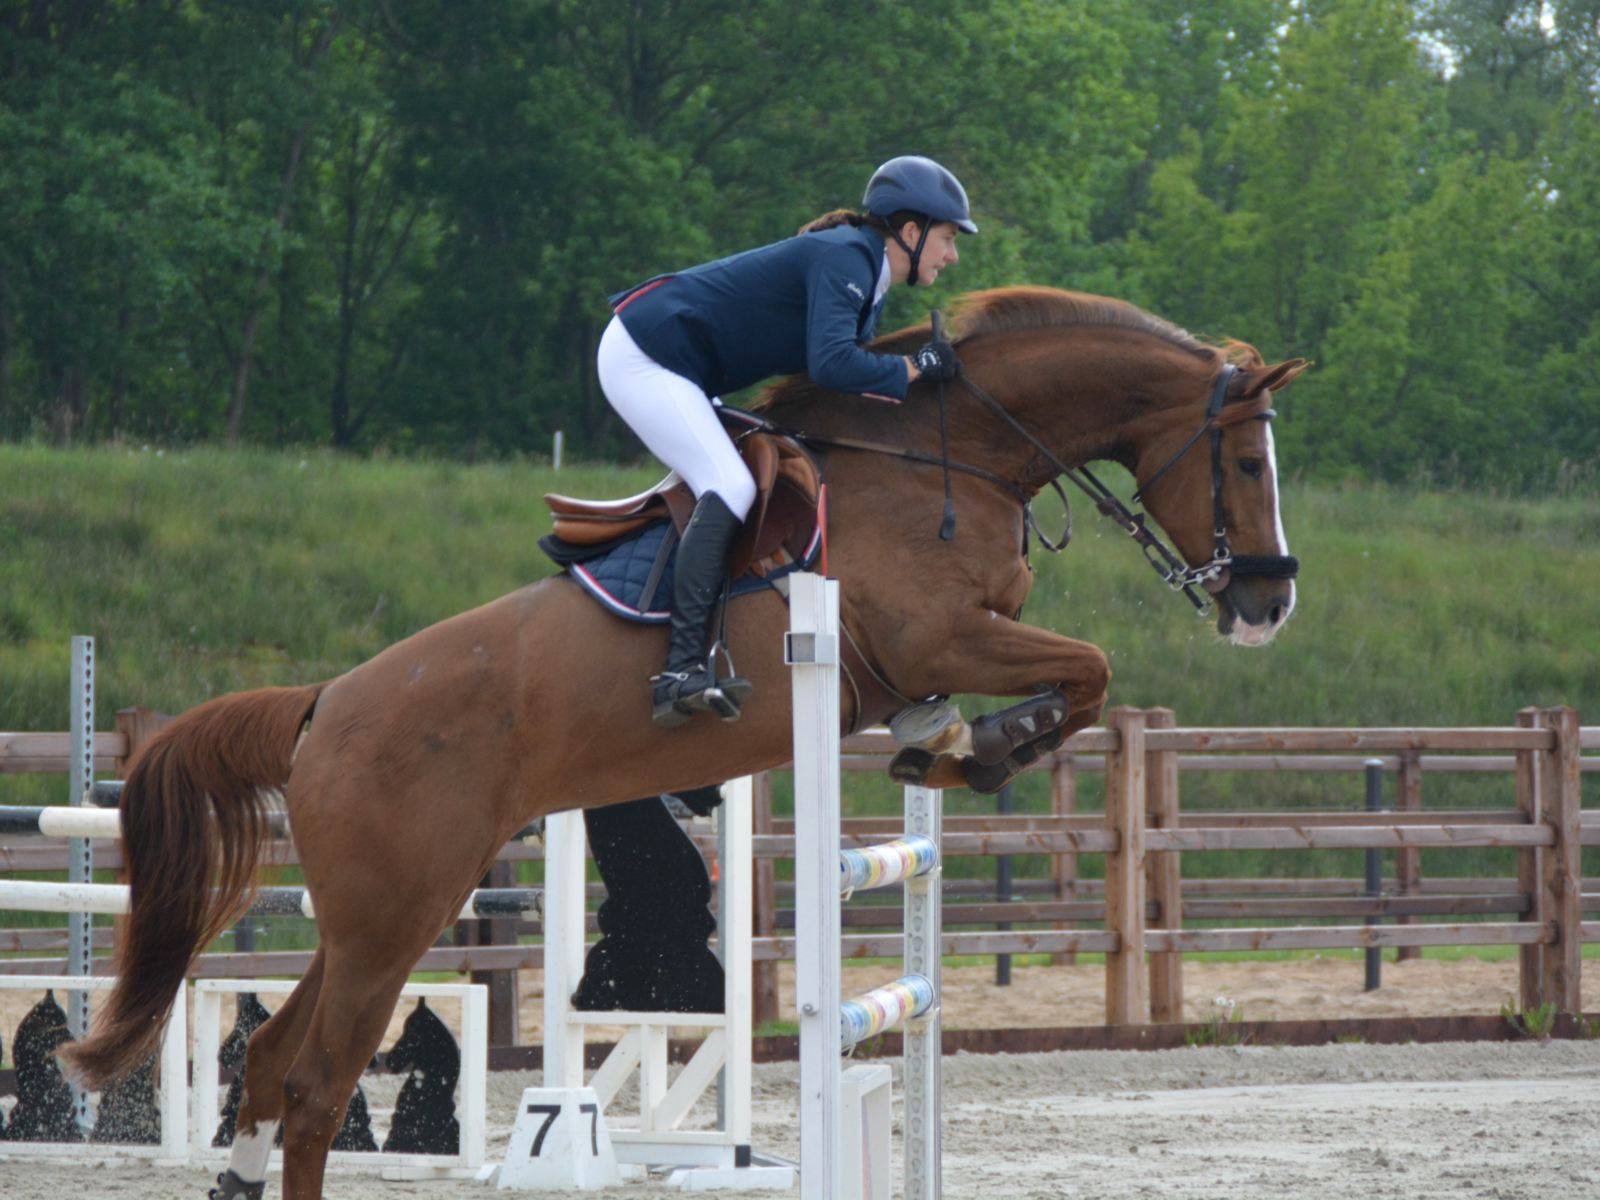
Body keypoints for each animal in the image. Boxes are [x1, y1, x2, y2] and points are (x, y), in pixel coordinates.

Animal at [68, 286, 1305, 1196]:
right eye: (1247, 465)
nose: (1266, 603)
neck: (945, 460)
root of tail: (322, 704)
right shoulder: (942, 634)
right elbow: (1087, 669)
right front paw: (982, 748)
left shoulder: (952, 644)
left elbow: (1071, 678)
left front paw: (946, 746)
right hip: (390, 914)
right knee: (319, 1087)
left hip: (385, 909)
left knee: (276, 1065)